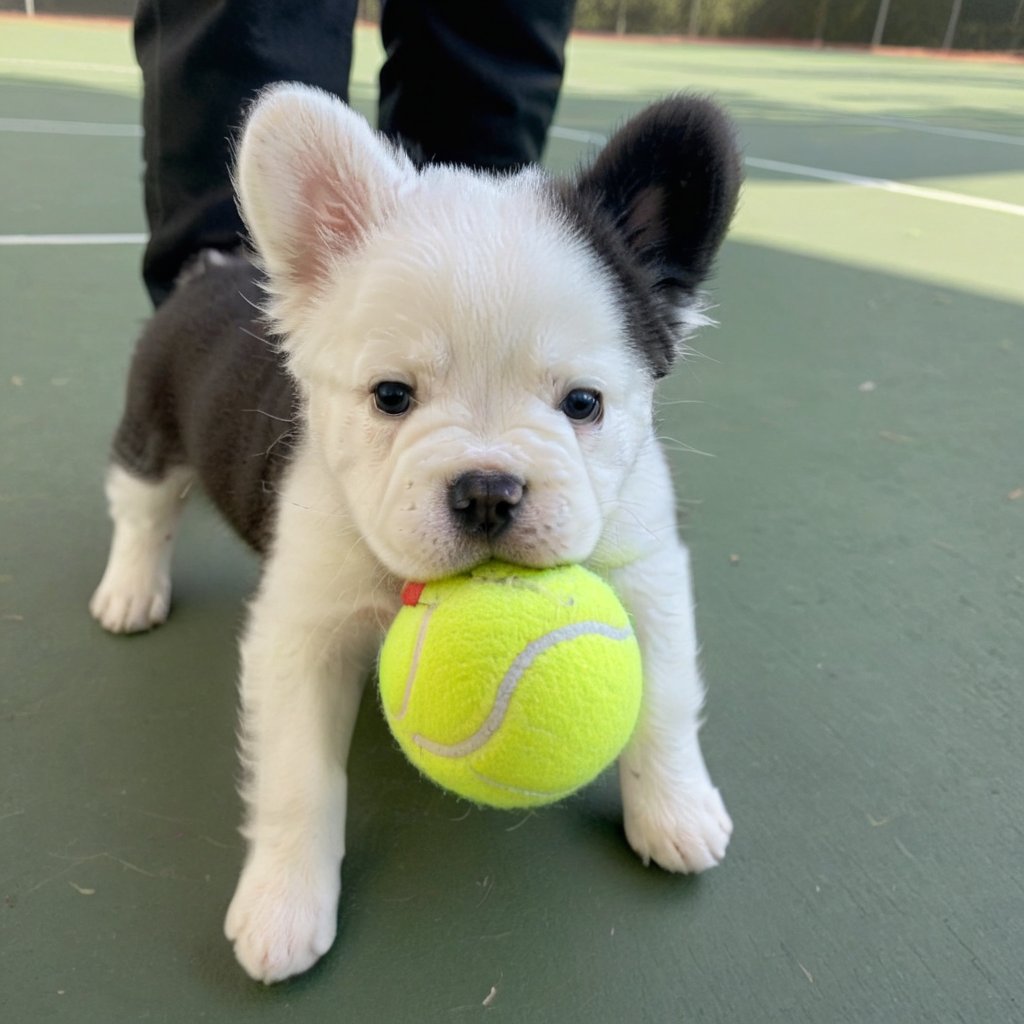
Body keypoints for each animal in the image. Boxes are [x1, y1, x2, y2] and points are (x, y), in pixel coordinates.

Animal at [92, 88, 741, 983]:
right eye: (391, 397)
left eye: (583, 404)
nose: (487, 489)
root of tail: (213, 270)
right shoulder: (302, 634)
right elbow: (298, 776)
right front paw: (284, 903)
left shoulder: (645, 573)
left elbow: (668, 703)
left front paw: (674, 807)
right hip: (151, 427)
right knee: (143, 507)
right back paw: (129, 588)